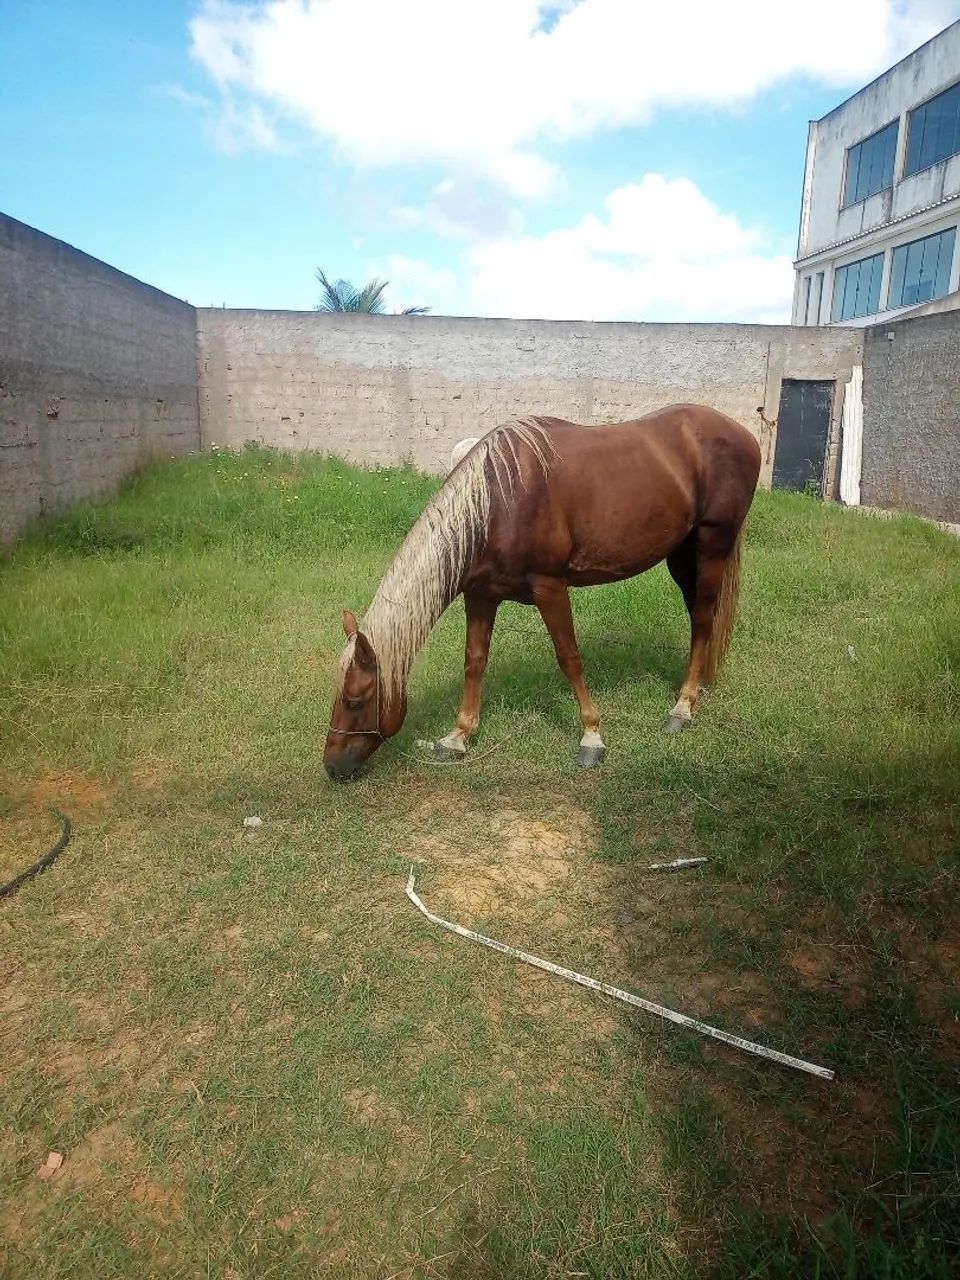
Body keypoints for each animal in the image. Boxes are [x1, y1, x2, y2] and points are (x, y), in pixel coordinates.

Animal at [324, 405, 761, 781]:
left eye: (356, 701)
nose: (332, 767)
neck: (498, 503)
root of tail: (742, 433)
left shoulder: (550, 588)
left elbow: (569, 658)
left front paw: (592, 737)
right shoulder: (481, 595)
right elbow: (474, 661)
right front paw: (457, 737)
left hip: (712, 544)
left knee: (703, 618)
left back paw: (682, 708)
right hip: (682, 554)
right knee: (700, 619)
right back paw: (698, 688)